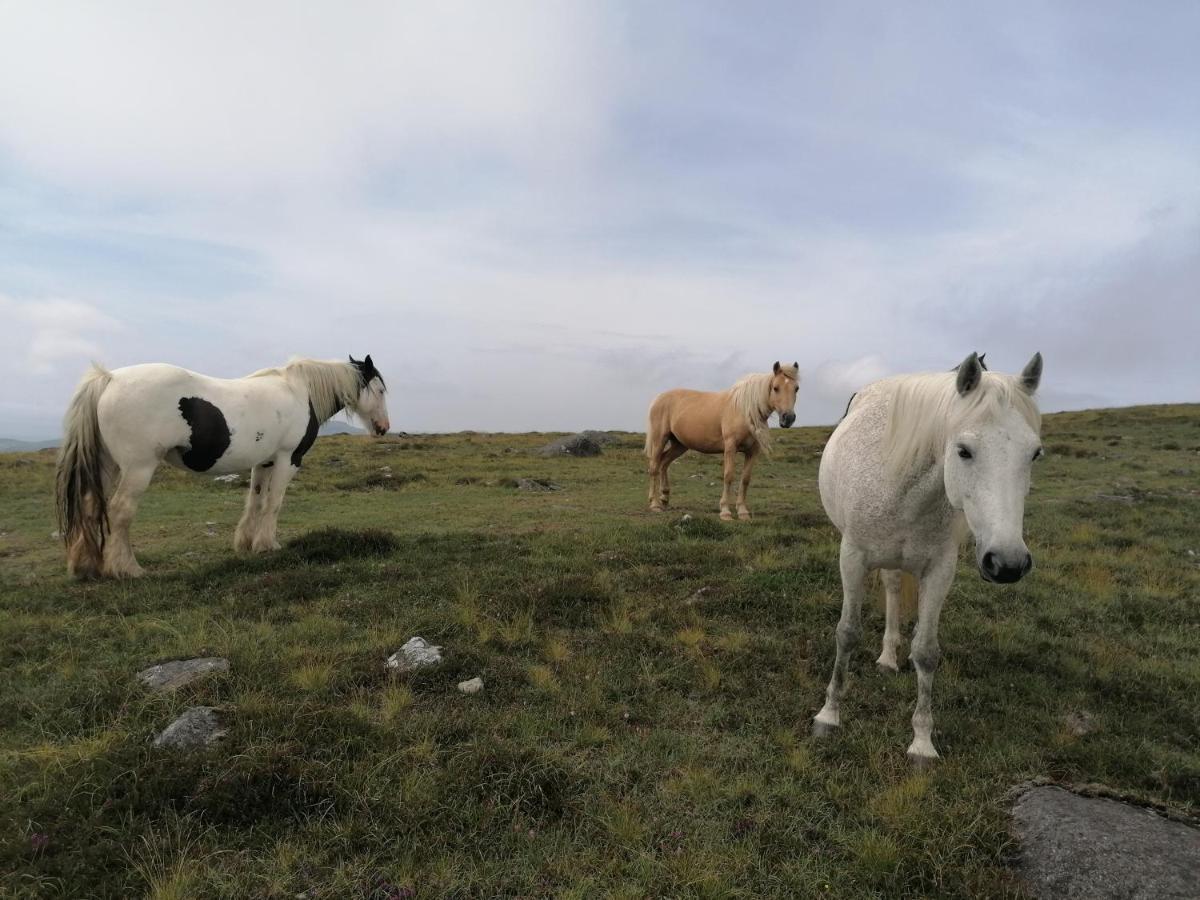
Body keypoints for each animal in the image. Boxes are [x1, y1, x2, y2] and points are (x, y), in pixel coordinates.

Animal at [55, 352, 388, 578]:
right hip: (138, 468)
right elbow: (274, 503)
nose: (383, 427)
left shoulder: (263, 461)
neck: (300, 392)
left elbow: (256, 502)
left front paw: (247, 543)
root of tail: (109, 378)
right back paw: (127, 568)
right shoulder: (287, 459)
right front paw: (268, 544)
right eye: (381, 390)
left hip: (107, 465)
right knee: (120, 511)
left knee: (90, 506)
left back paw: (85, 566)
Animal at [643, 362, 801, 520]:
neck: (744, 410)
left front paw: (743, 511)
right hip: (659, 439)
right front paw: (725, 511)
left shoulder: (752, 451)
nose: (788, 418)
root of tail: (658, 398)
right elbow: (728, 475)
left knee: (664, 463)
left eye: (796, 388)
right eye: (776, 387)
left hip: (680, 445)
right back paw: (655, 504)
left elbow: (745, 479)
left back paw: (664, 497)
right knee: (654, 467)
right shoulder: (730, 447)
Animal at [816, 350, 1041, 763]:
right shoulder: (852, 558)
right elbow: (847, 633)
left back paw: (891, 656)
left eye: (1035, 453)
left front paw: (922, 741)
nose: (1008, 563)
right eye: (963, 450)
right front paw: (829, 714)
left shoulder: (940, 570)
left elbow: (927, 651)